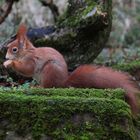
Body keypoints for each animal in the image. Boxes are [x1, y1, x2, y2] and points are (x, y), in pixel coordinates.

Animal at [3, 23, 139, 114]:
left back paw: (38, 87)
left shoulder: (31, 60)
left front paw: (10, 63)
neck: (26, 52)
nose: (5, 57)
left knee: (49, 87)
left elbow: (27, 69)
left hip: (49, 70)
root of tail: (63, 82)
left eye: (14, 49)